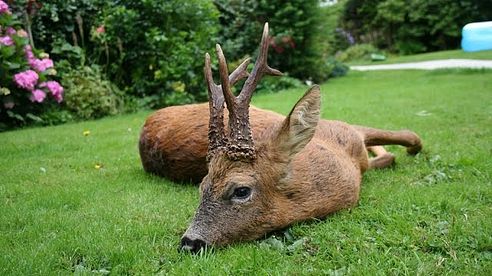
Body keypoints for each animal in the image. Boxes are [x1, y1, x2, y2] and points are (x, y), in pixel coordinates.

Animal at [139, 23, 422, 252]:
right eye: (202, 186)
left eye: (241, 190)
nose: (190, 243)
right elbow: (394, 149)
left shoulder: (346, 129)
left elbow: (410, 135)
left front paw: (407, 149)